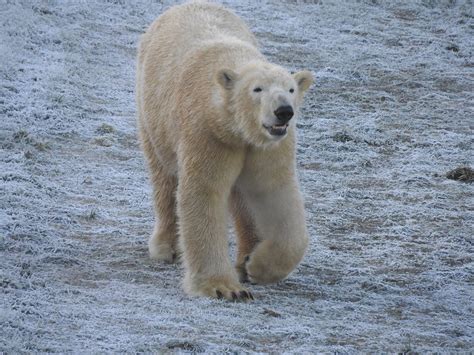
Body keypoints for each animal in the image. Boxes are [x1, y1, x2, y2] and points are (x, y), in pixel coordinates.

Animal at [136, 2, 314, 304]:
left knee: (243, 199)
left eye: (291, 89)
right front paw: (225, 288)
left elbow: (275, 193)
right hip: (153, 118)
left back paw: (245, 258)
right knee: (164, 178)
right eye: (257, 89)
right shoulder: (209, 134)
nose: (283, 111)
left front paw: (258, 266)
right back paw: (165, 247)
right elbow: (203, 193)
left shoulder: (266, 147)